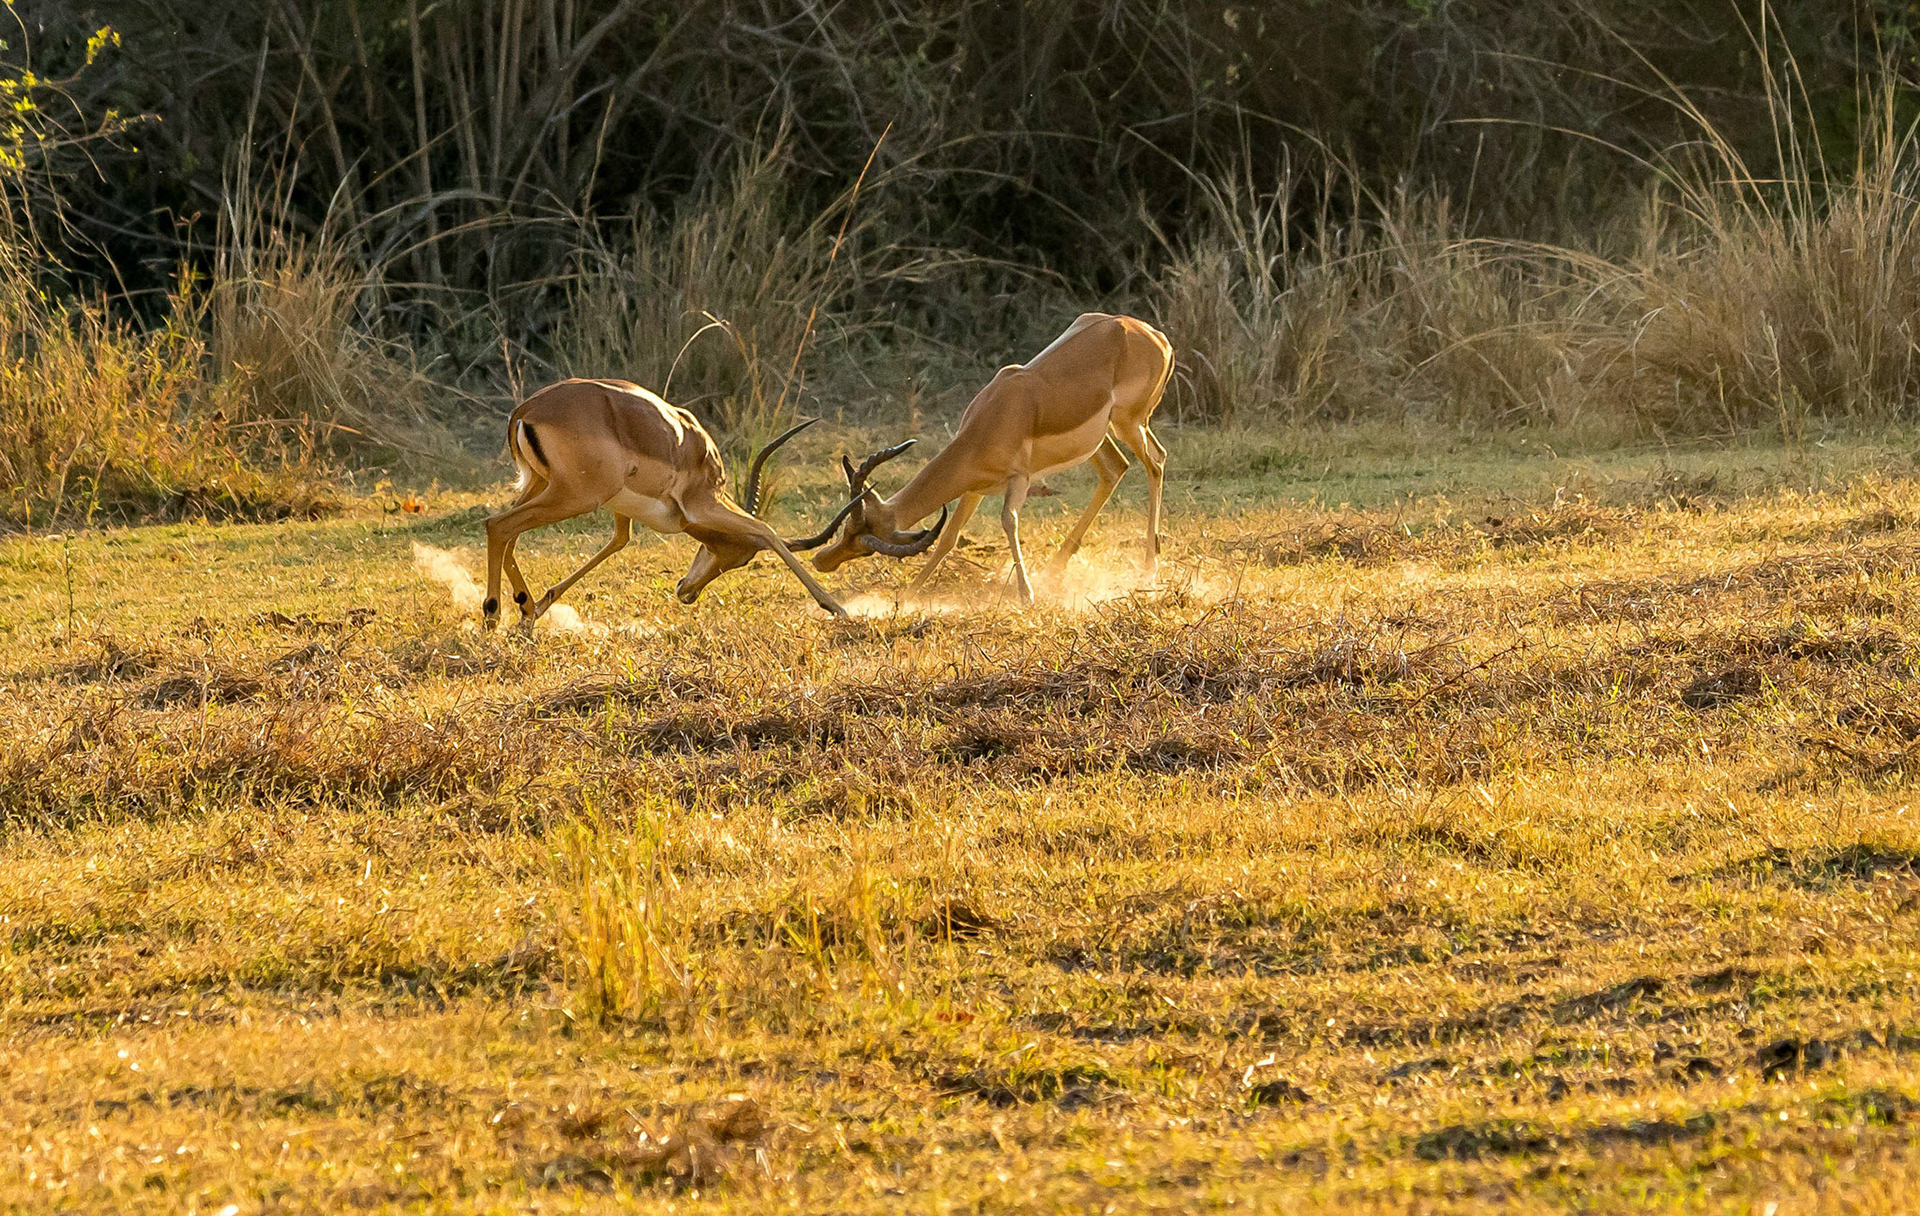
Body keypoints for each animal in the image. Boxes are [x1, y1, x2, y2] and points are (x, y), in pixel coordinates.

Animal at [481, 378, 887, 628]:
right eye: (741, 558)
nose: (686, 592)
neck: (694, 448)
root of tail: (525, 411)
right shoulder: (702, 504)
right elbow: (765, 529)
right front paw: (836, 607)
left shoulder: (623, 512)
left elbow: (618, 542)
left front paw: (541, 606)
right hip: (575, 497)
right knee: (498, 525)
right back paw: (493, 613)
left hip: (542, 486)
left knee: (509, 532)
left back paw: (525, 608)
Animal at [809, 313, 1174, 602]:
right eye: (847, 530)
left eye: (865, 545)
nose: (821, 561)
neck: (996, 415)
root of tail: (1156, 336)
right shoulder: (974, 488)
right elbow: (948, 538)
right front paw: (912, 593)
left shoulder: (1019, 480)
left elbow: (1008, 521)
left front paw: (1026, 595)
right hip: (1100, 440)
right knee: (1116, 468)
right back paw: (1055, 569)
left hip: (1129, 423)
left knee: (1156, 461)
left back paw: (1148, 569)